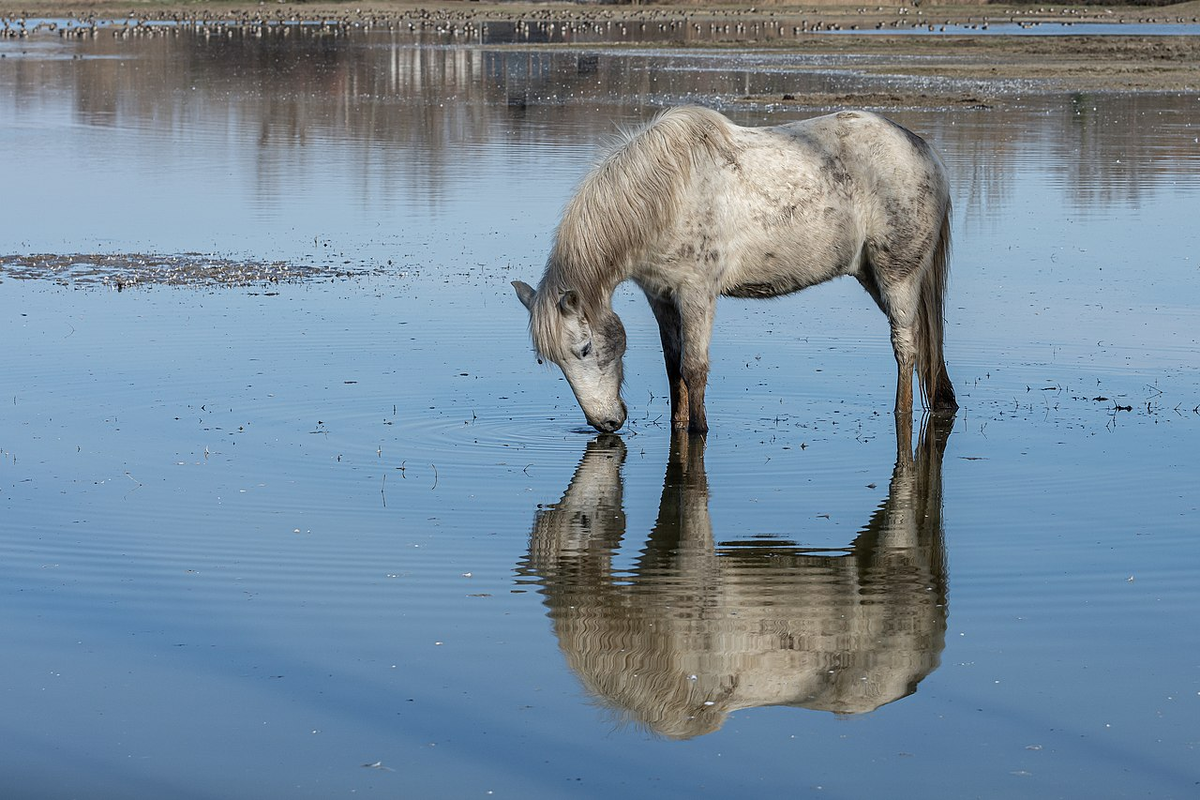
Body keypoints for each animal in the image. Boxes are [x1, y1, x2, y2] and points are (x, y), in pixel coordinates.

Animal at [513, 106, 955, 434]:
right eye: (552, 362)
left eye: (585, 349)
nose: (604, 424)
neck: (666, 195)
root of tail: (924, 151)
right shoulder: (661, 297)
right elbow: (674, 368)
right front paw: (678, 426)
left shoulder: (697, 294)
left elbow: (694, 369)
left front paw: (699, 432)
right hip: (872, 277)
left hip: (897, 276)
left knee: (905, 347)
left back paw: (901, 414)